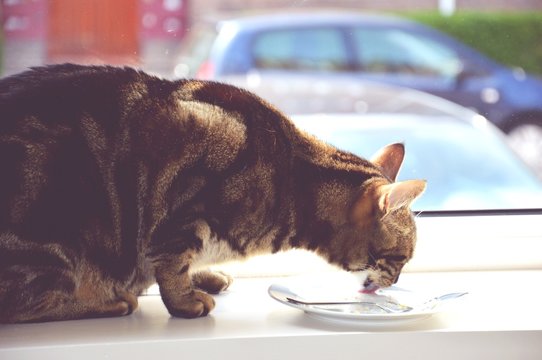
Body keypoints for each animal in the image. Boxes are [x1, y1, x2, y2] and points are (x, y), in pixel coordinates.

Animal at [0, 64, 428, 324]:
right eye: (401, 259)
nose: (396, 281)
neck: (293, 182)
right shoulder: (181, 215)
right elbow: (171, 266)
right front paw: (186, 299)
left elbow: (180, 265)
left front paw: (204, 277)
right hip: (51, 240)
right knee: (21, 306)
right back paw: (107, 301)